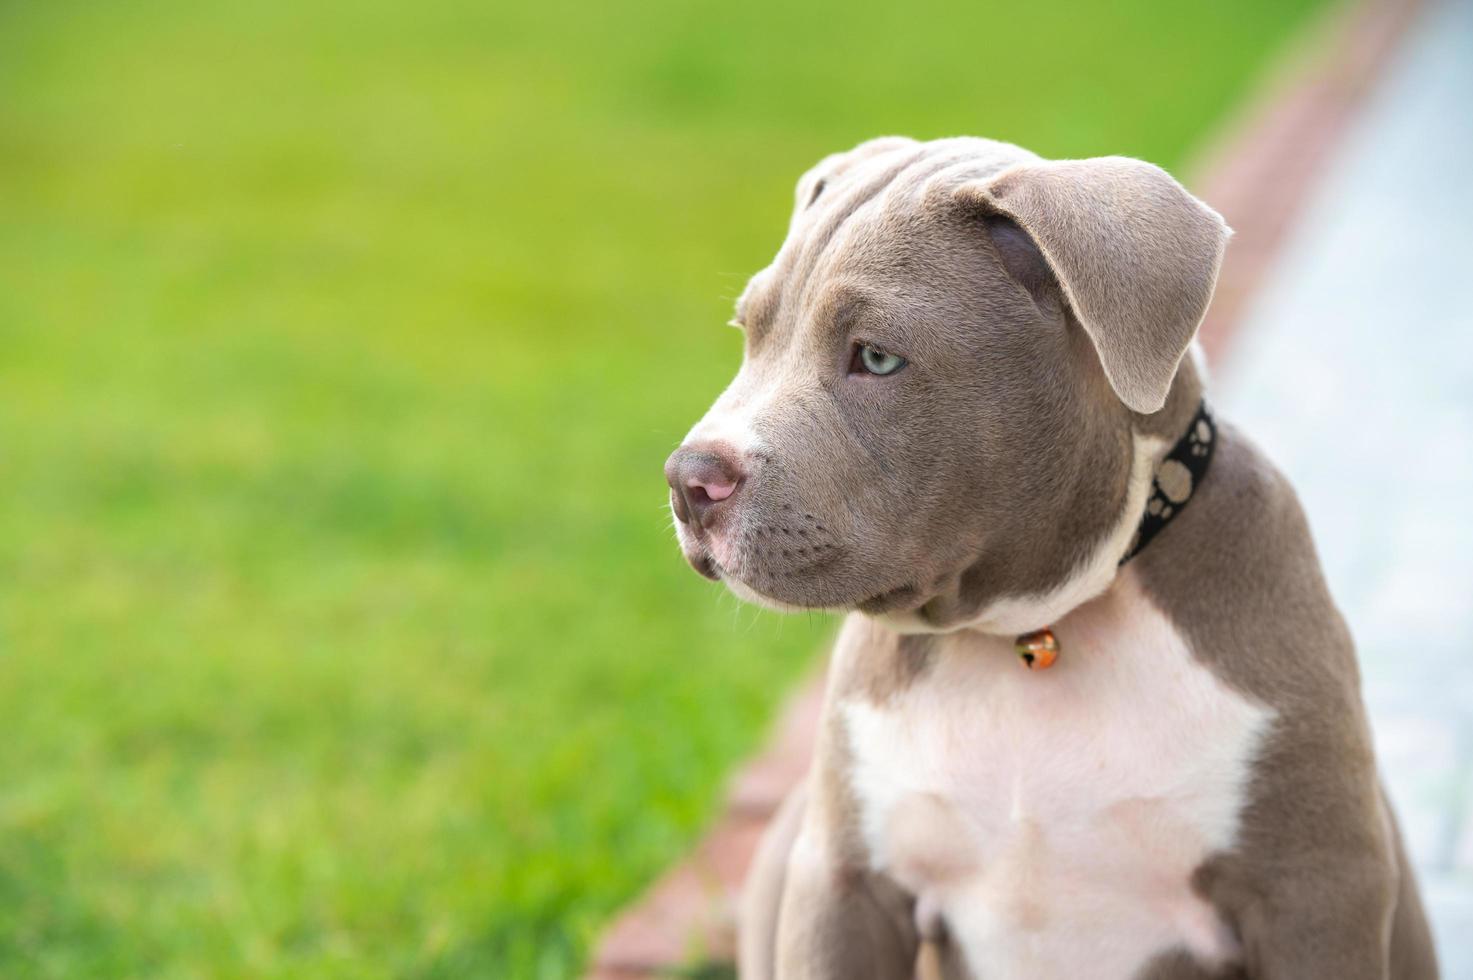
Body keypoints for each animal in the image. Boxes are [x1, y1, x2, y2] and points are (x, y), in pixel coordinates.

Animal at [662, 134, 1431, 972]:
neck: (1028, 631)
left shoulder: (1315, 892)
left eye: (877, 358)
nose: (687, 478)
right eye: (749, 333)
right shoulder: (842, 884)